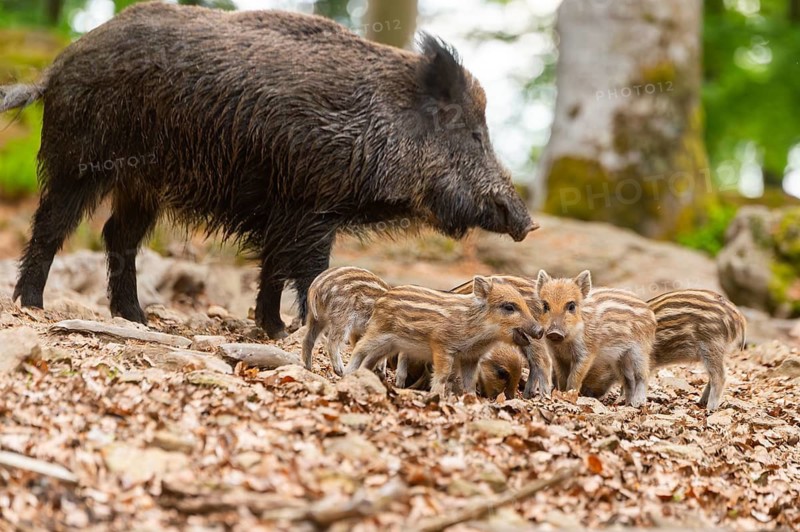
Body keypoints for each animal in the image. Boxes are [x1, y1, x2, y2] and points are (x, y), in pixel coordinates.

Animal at [1, 2, 537, 339]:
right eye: (473, 133)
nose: (527, 221)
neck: (377, 123)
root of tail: (58, 66)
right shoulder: (311, 206)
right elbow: (308, 270)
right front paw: (295, 330)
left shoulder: (287, 210)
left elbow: (273, 268)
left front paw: (272, 328)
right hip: (78, 160)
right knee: (52, 225)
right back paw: (32, 304)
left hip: (142, 184)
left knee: (118, 235)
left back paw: (137, 319)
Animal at [344, 277, 538, 396]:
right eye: (509, 307)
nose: (539, 330)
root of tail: (382, 298)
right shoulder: (442, 346)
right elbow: (443, 374)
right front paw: (437, 395)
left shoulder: (471, 357)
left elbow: (470, 380)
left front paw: (471, 399)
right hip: (378, 333)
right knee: (360, 347)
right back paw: (347, 373)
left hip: (390, 345)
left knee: (372, 357)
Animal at [536, 270, 656, 407]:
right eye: (545, 305)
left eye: (571, 306)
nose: (554, 332)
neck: (565, 342)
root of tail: (650, 313)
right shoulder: (557, 356)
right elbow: (562, 378)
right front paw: (561, 394)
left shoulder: (586, 352)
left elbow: (574, 378)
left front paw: (569, 396)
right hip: (620, 358)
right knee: (628, 379)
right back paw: (627, 404)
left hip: (640, 350)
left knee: (643, 374)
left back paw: (638, 403)